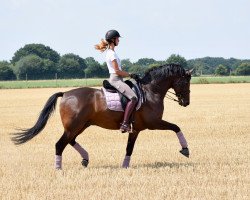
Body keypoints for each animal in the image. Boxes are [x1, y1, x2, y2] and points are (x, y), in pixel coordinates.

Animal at [11, 63, 192, 169]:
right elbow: (176, 127)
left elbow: (129, 148)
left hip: (81, 125)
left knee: (71, 141)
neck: (151, 91)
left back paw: (85, 159)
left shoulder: (136, 129)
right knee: (60, 144)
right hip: (74, 126)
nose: (186, 102)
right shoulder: (154, 123)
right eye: (185, 82)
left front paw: (125, 166)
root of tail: (66, 94)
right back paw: (58, 169)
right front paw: (185, 149)